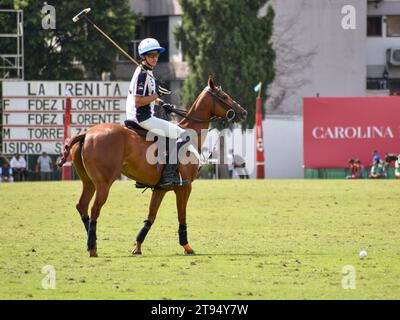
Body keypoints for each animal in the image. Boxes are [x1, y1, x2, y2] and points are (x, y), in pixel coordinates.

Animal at [57, 77, 247, 258]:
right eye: (224, 97)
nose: (243, 112)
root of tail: (86, 133)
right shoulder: (185, 187)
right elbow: (182, 216)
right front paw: (187, 246)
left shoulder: (160, 189)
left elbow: (151, 216)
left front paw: (137, 247)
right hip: (104, 183)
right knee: (95, 208)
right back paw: (92, 248)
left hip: (88, 181)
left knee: (82, 206)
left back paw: (93, 243)